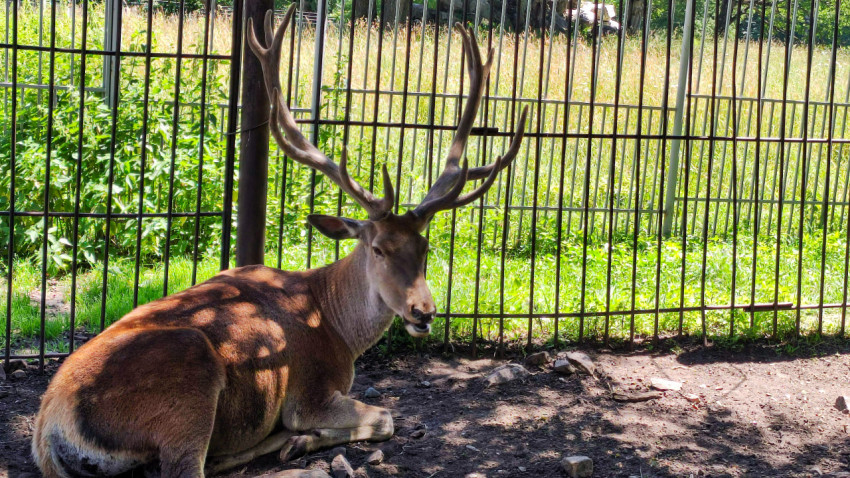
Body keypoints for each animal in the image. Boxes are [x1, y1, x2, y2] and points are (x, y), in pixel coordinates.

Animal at [31, 5, 527, 477]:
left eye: (425, 248)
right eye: (378, 248)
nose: (423, 311)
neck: (337, 328)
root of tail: (49, 428)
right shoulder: (312, 391)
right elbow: (385, 416)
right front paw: (303, 437)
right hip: (189, 381)